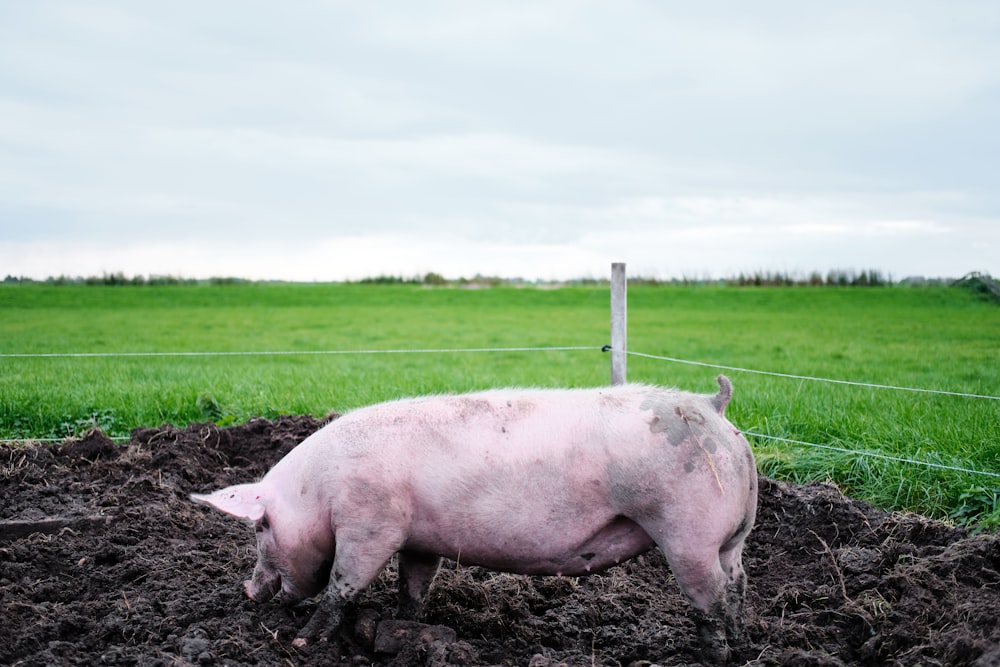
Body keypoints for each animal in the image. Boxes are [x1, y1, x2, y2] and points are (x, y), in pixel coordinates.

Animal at [191, 376, 756, 664]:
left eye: (260, 527)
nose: (248, 590)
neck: (319, 491)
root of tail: (713, 405)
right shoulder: (419, 538)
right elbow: (414, 585)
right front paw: (404, 629)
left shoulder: (370, 524)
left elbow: (341, 584)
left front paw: (303, 642)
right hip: (732, 539)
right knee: (737, 586)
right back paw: (741, 644)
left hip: (687, 533)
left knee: (710, 598)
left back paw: (713, 658)